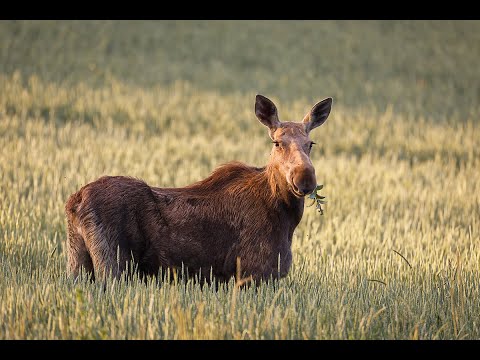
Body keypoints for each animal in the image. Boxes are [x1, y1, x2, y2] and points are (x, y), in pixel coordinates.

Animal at [65, 95, 332, 284]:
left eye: (311, 143)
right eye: (277, 142)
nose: (305, 178)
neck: (286, 217)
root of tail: (74, 203)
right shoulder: (253, 273)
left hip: (78, 261)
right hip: (113, 265)